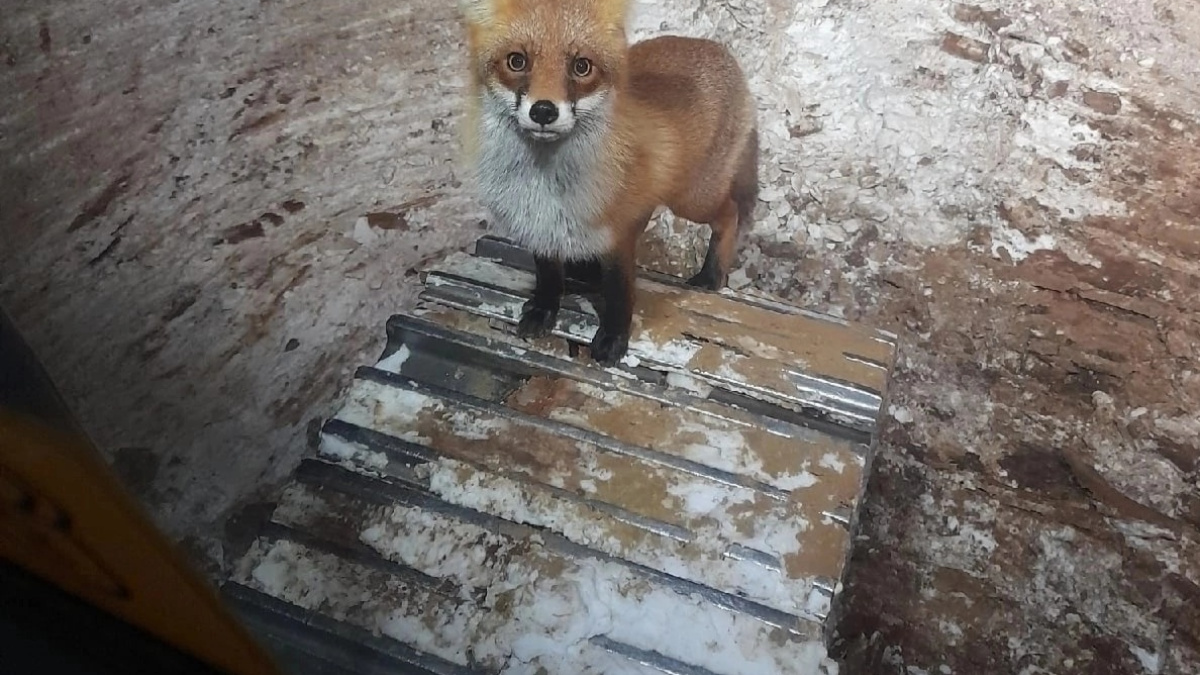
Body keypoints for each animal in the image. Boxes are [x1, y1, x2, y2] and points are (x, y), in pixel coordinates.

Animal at [458, 0, 758, 362]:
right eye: (517, 61)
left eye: (581, 67)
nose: (543, 111)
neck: (546, 184)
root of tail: (718, 49)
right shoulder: (540, 228)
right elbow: (548, 277)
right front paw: (544, 310)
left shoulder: (618, 235)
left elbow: (619, 292)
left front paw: (614, 338)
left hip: (693, 198)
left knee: (730, 213)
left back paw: (711, 275)